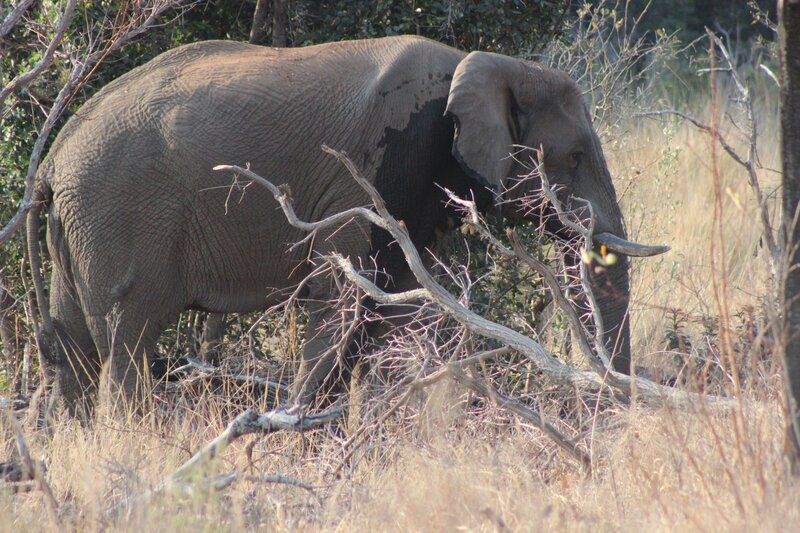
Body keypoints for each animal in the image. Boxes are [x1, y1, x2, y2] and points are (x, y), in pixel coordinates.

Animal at [28, 35, 667, 416]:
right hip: (120, 217)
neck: (484, 65)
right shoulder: (368, 176)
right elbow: (342, 299)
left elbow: (398, 310)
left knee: (76, 347)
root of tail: (53, 161)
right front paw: (294, 427)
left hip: (81, 227)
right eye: (575, 158)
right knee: (126, 343)